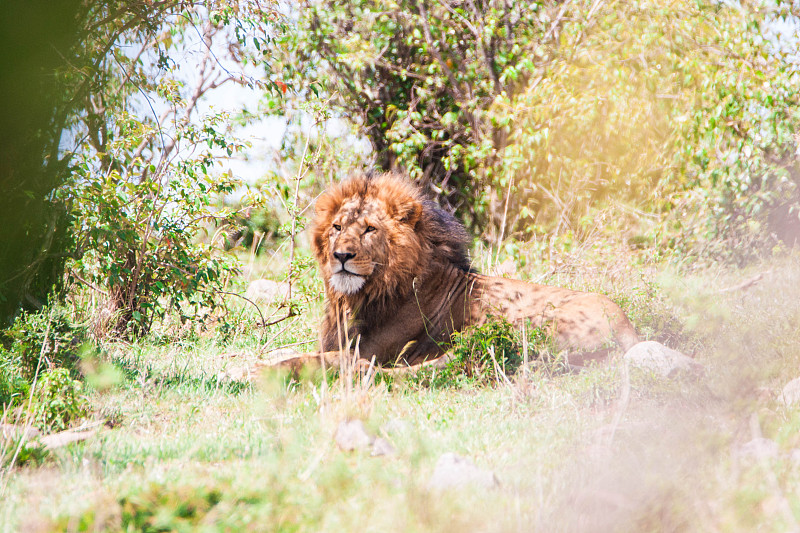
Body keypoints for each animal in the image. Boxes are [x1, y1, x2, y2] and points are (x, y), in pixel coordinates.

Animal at [256, 172, 636, 372]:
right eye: (337, 227)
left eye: (369, 230)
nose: (341, 256)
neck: (363, 293)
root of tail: (627, 326)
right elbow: (281, 352)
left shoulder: (369, 348)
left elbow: (302, 358)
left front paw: (252, 372)